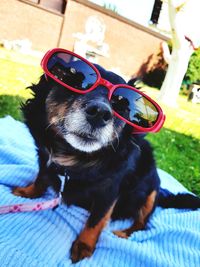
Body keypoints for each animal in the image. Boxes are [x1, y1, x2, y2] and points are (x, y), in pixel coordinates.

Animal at [12, 55, 200, 262]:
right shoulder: (45, 162)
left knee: (142, 224)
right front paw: (27, 191)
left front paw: (84, 245)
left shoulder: (109, 192)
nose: (101, 113)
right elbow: (40, 179)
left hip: (151, 192)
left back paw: (124, 233)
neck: (74, 157)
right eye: (73, 81)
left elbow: (97, 220)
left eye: (122, 104)